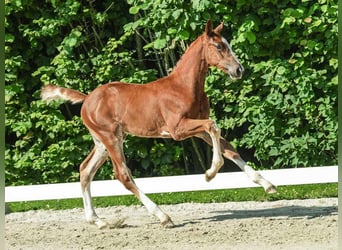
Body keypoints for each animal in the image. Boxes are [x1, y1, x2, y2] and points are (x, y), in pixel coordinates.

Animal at [41, 20, 276, 229]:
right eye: (219, 46)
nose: (239, 70)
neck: (183, 87)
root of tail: (87, 99)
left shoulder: (196, 130)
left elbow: (228, 147)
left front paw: (267, 185)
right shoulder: (178, 130)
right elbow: (213, 126)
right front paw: (210, 174)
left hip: (102, 142)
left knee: (85, 170)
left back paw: (99, 221)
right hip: (111, 138)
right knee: (122, 175)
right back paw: (163, 216)